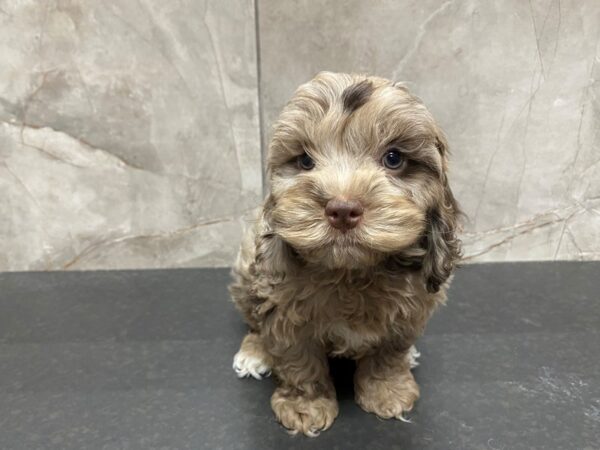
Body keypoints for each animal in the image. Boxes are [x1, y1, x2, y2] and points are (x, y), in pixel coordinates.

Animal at [229, 71, 460, 436]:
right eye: (305, 161)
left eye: (393, 158)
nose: (342, 209)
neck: (350, 273)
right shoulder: (285, 312)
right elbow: (299, 361)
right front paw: (305, 406)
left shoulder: (410, 311)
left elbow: (389, 353)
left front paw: (387, 392)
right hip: (245, 273)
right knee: (253, 321)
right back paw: (255, 352)